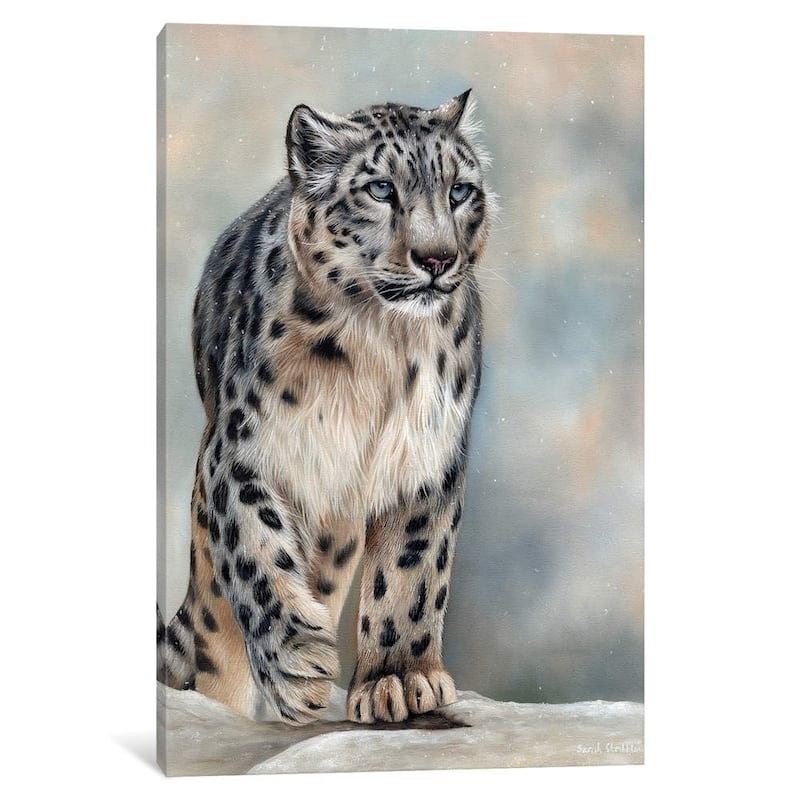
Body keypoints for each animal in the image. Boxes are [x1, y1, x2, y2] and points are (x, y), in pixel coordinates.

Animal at [157, 90, 494, 726]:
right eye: (380, 189)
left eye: (460, 190)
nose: (437, 258)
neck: (381, 345)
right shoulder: (241, 452)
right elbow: (257, 551)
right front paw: (299, 666)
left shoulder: (426, 456)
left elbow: (411, 570)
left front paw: (398, 680)